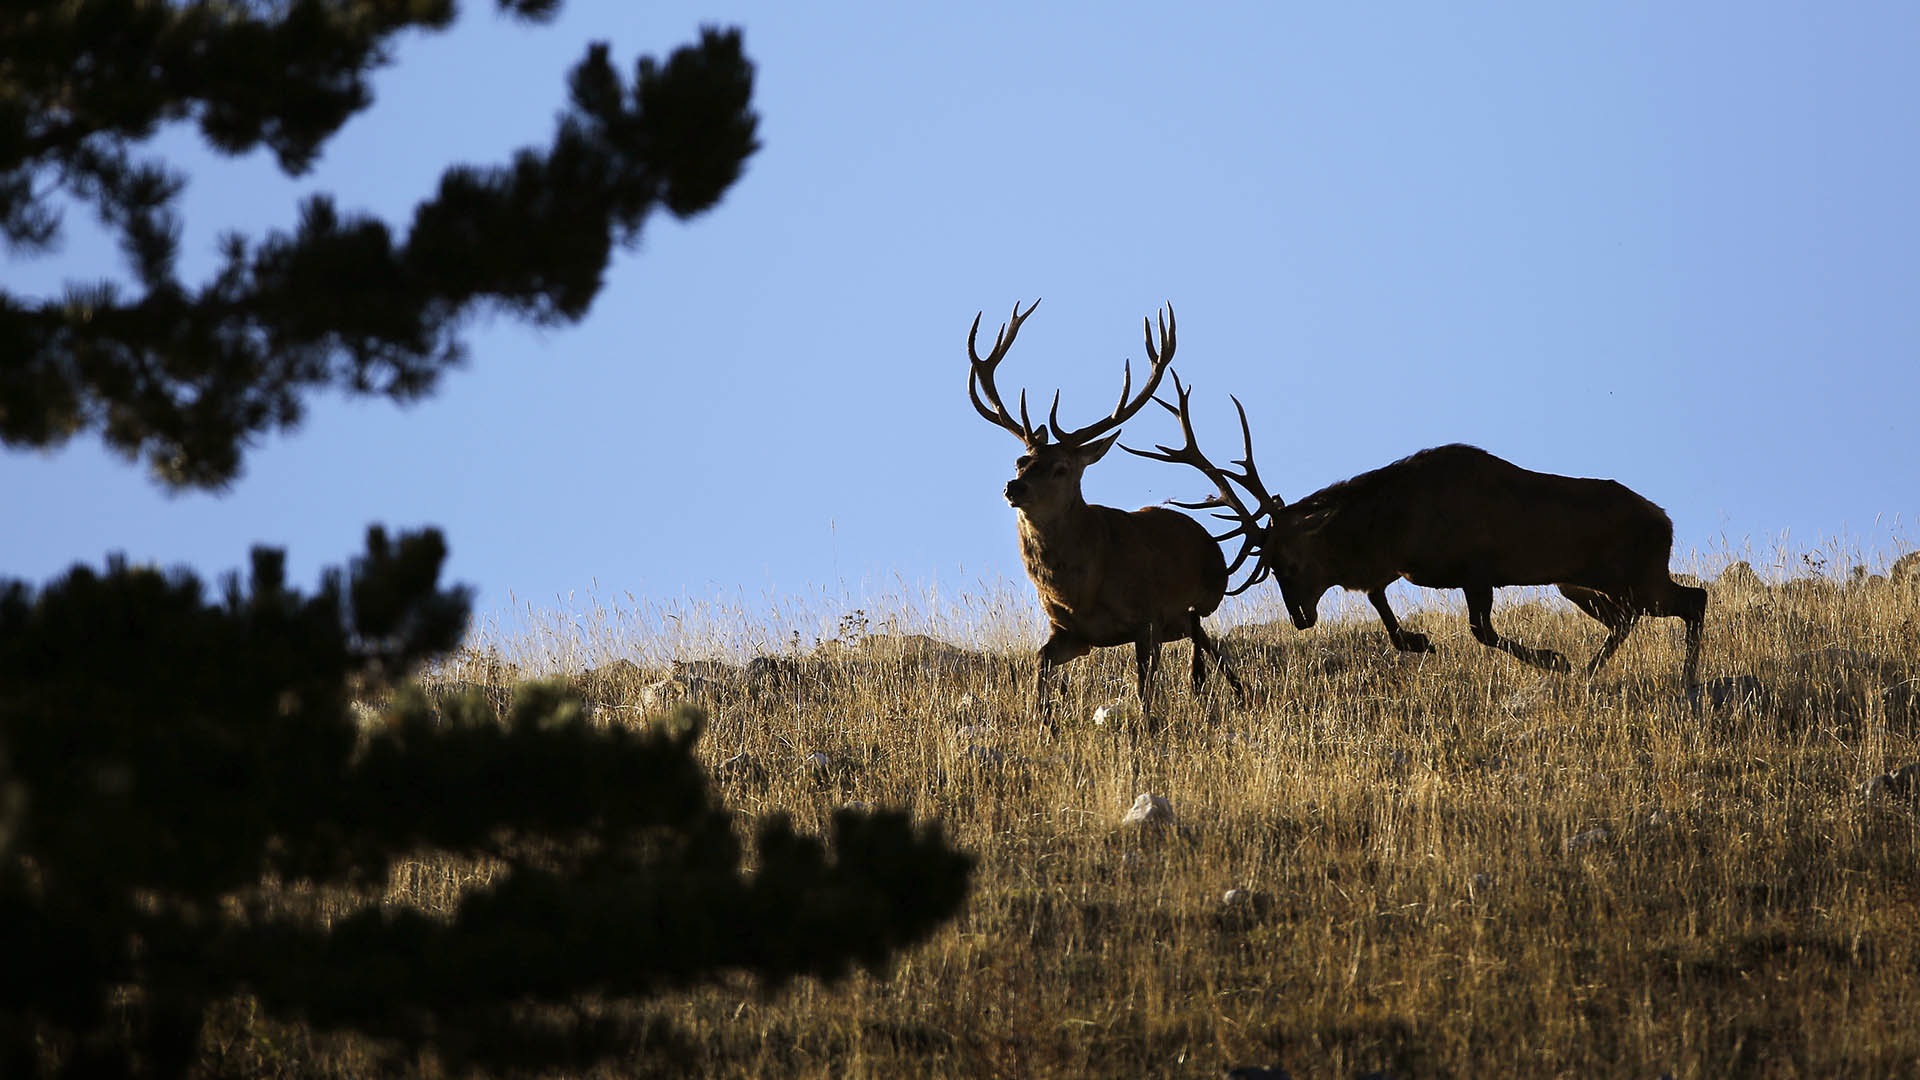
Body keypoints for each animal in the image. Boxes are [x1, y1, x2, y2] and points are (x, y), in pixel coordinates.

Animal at [960, 297, 1244, 714]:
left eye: (1061, 468)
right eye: (1019, 461)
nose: (1014, 487)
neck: (1082, 588)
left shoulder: (1147, 617)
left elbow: (1145, 689)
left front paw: (1147, 721)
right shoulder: (1071, 633)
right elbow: (1039, 662)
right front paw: (1043, 716)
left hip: (1203, 602)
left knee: (1205, 644)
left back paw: (1221, 689)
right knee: (1206, 644)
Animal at [1121, 376, 1712, 680]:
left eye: (1288, 560)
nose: (1300, 618)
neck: (1396, 525)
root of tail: (1666, 520)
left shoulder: (1476, 567)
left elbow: (1481, 629)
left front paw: (1552, 659)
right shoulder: (1400, 568)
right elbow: (1382, 606)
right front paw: (1419, 640)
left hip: (1633, 572)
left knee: (1693, 599)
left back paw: (1676, 682)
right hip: (1582, 582)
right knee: (1630, 616)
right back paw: (1596, 673)